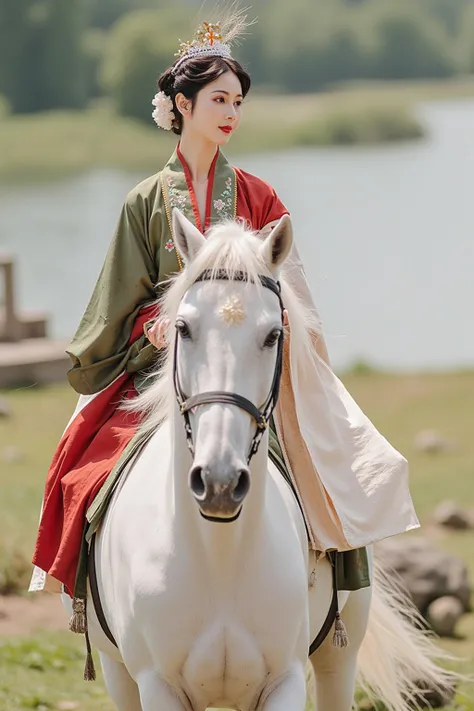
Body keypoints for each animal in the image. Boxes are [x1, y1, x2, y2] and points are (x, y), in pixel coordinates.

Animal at [65, 211, 454, 711]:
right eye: (183, 328)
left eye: (273, 335)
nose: (219, 482)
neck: (219, 556)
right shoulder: (156, 683)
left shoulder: (283, 680)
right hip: (116, 667)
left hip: (340, 651)